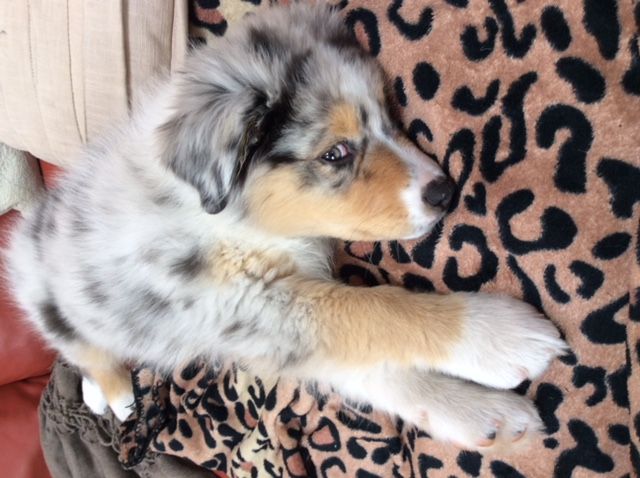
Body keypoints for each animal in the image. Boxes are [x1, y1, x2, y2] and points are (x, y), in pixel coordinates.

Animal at [5, 3, 566, 452]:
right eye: (335, 153)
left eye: (389, 119)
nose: (444, 192)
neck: (239, 223)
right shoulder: (245, 303)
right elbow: (374, 309)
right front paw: (500, 335)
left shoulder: (266, 328)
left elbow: (371, 368)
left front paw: (484, 415)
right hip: (43, 294)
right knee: (80, 345)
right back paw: (117, 392)